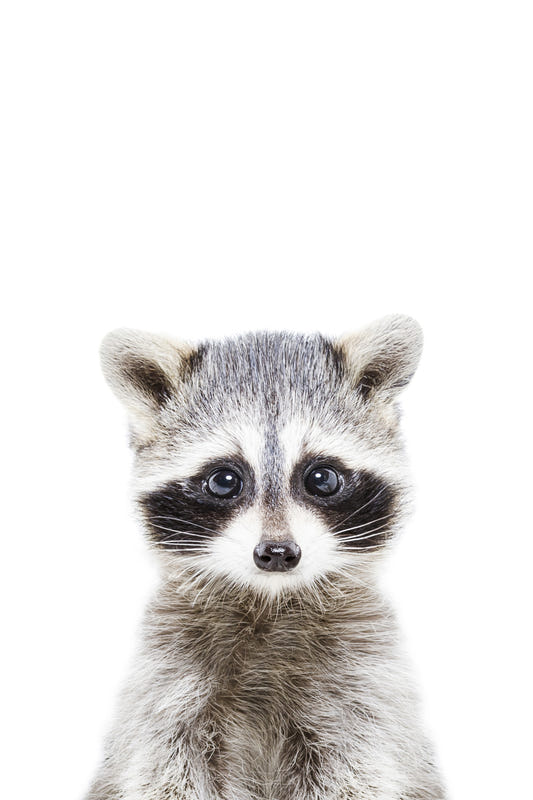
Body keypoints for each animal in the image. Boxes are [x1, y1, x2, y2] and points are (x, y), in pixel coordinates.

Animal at [86, 315, 446, 800]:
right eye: (224, 480)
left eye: (322, 478)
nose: (277, 553)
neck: (270, 600)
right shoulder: (167, 683)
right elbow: (163, 769)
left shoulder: (364, 686)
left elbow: (357, 770)